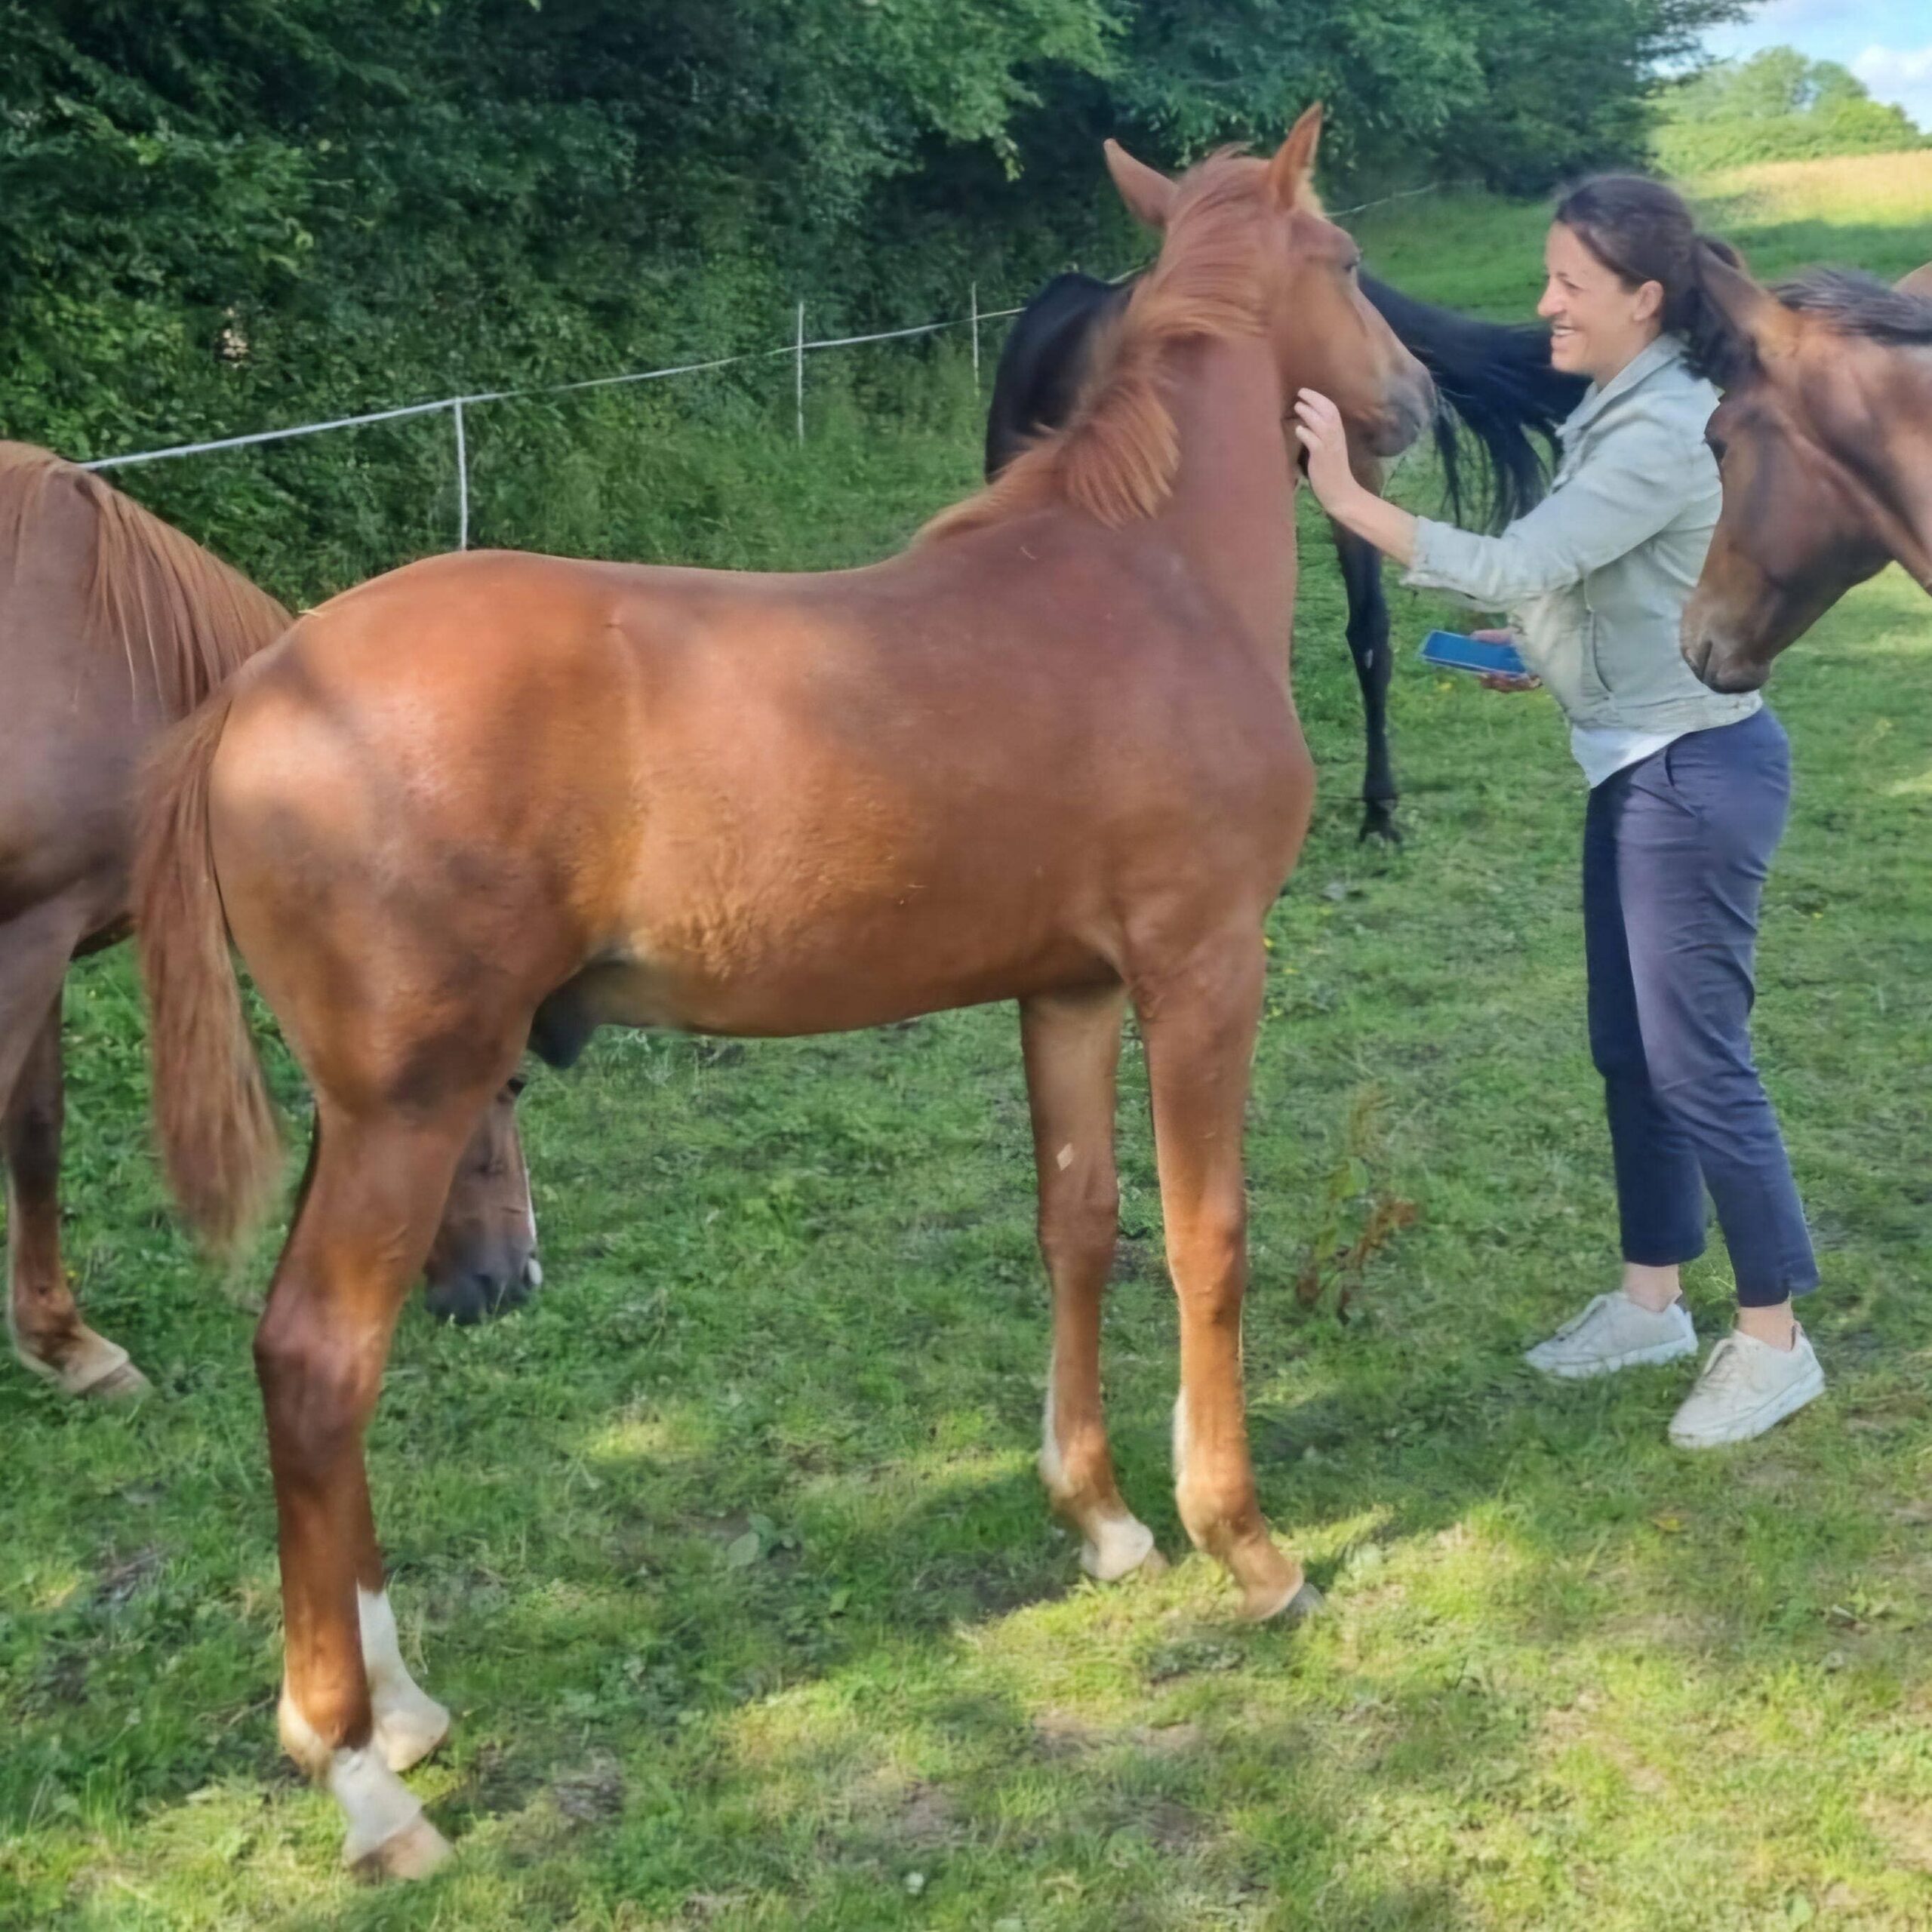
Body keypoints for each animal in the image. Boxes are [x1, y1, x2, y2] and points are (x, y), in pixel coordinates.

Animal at [0, 445, 541, 1399]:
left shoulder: (39, 934)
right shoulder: (26, 936)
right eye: (511, 1083)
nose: (517, 1276)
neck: (93, 660)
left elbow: (35, 1127)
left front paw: (64, 1344)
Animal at [132, 106, 1434, 1878]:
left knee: (311, 1374)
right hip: (411, 1104)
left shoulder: (1067, 991)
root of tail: (263, 684)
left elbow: (1078, 1223)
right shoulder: (1201, 969)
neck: (1147, 577)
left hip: (372, 1105)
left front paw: (1099, 1518)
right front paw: (1246, 1545)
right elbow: (1204, 1237)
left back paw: (392, 1708)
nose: (1414, 402)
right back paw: (364, 1782)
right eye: (1351, 257)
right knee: (323, 1362)